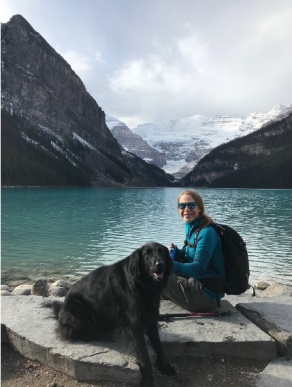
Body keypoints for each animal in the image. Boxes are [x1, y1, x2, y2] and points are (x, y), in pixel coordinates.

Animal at [50, 241, 176, 386]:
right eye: (147, 254)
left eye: (162, 252)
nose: (160, 264)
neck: (142, 284)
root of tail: (61, 311)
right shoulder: (136, 326)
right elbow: (145, 358)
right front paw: (148, 380)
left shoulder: (151, 319)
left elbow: (159, 345)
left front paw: (166, 366)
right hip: (82, 313)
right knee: (72, 332)